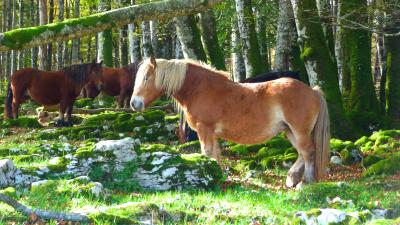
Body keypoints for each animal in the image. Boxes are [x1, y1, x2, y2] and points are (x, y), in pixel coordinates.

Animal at [131, 57, 332, 188]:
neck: (200, 89)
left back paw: (305, 183)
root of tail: (313, 91)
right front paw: (217, 176)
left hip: (299, 131)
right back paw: (292, 179)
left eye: (147, 77)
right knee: (302, 153)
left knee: (308, 152)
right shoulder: (211, 133)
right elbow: (215, 154)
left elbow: (207, 153)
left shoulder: (204, 130)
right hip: (289, 131)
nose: (134, 103)